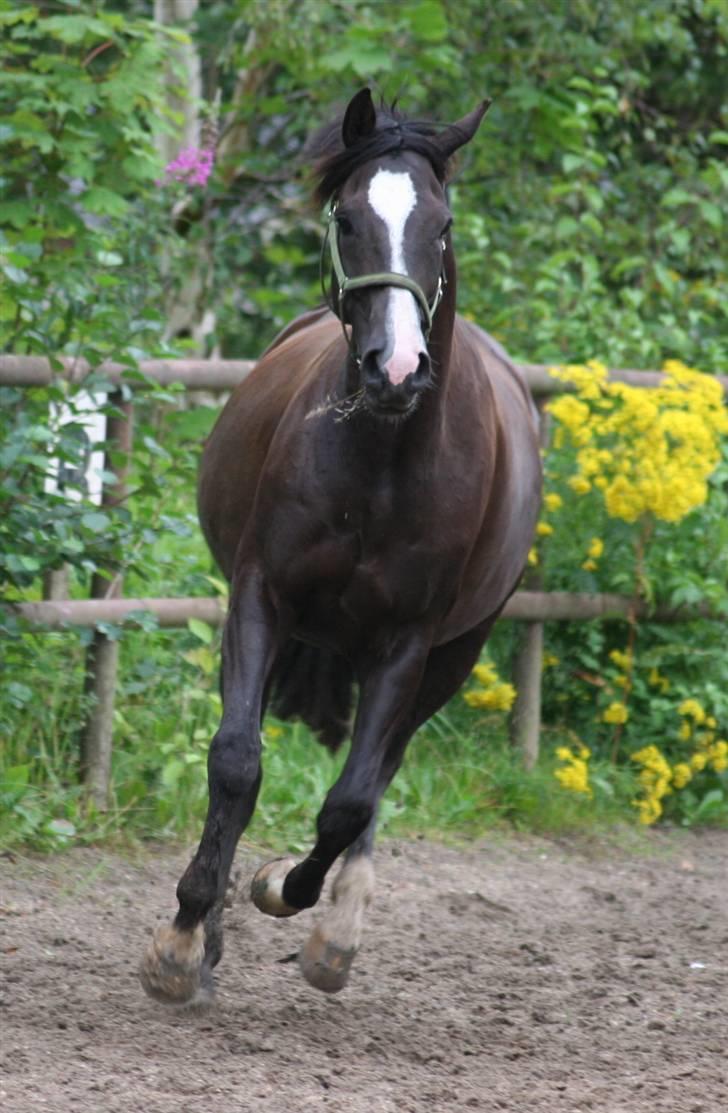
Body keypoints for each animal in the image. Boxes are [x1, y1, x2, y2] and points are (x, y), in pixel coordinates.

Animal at [141, 91, 540, 1006]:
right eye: (348, 218)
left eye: (442, 224)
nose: (396, 368)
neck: (382, 463)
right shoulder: (259, 598)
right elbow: (236, 762)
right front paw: (184, 940)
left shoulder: (408, 643)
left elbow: (350, 799)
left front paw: (284, 891)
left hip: (455, 654)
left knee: (382, 768)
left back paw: (336, 929)